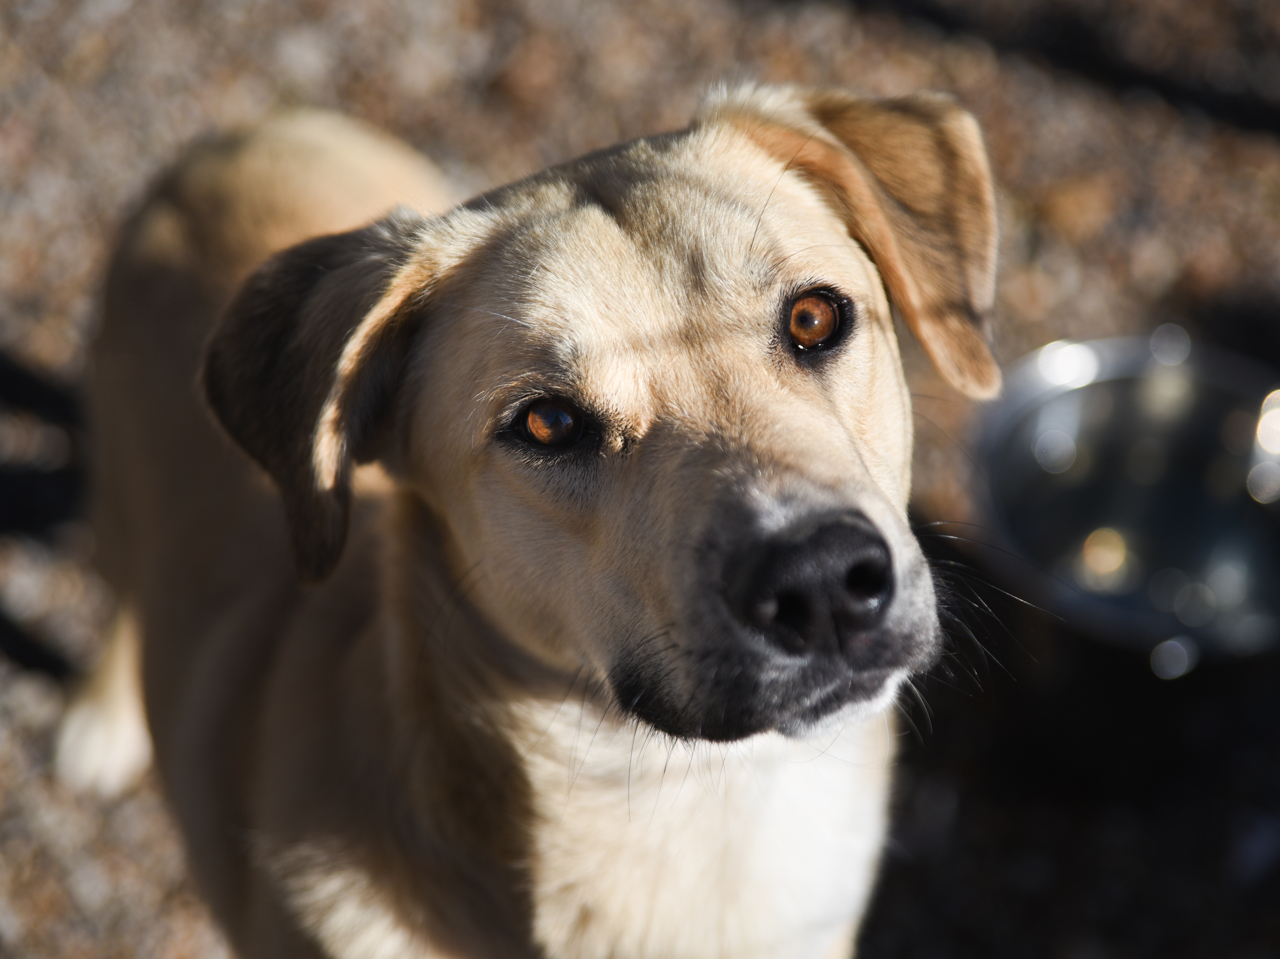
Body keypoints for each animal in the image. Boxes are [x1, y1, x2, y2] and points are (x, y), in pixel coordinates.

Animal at [57, 83, 998, 957]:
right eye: (546, 423)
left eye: (814, 316)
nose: (823, 581)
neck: (706, 806)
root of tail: (242, 135)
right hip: (116, 499)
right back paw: (102, 723)